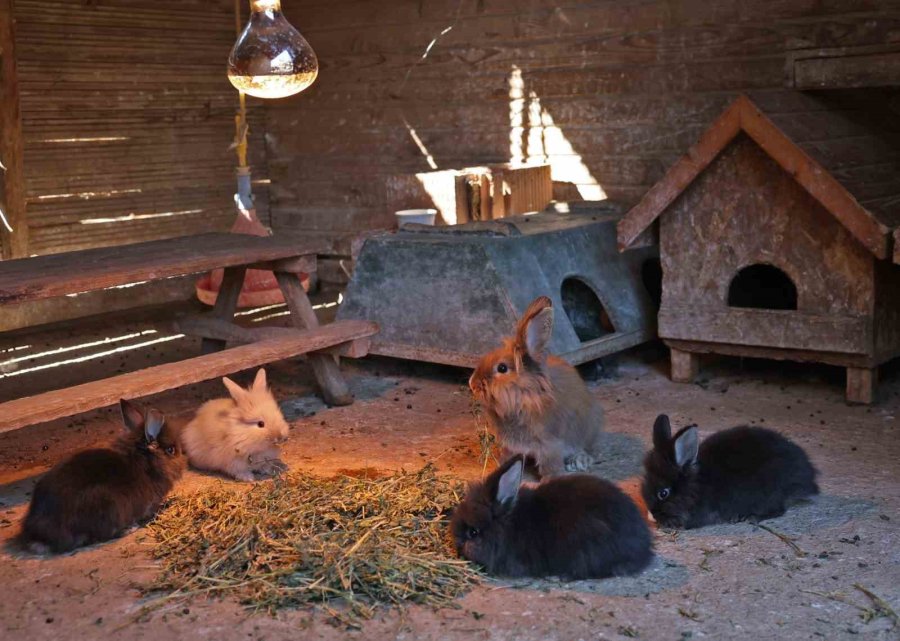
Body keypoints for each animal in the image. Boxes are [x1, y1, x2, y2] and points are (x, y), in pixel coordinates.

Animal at [472, 296, 604, 476]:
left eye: (502, 368)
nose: (472, 384)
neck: (523, 396)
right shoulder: (511, 446)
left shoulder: (550, 444)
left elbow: (550, 465)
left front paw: (550, 478)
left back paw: (578, 461)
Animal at [644, 412, 820, 528]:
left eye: (663, 493)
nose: (652, 513)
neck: (696, 486)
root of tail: (808, 480)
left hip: (769, 493)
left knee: (779, 510)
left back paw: (751, 517)